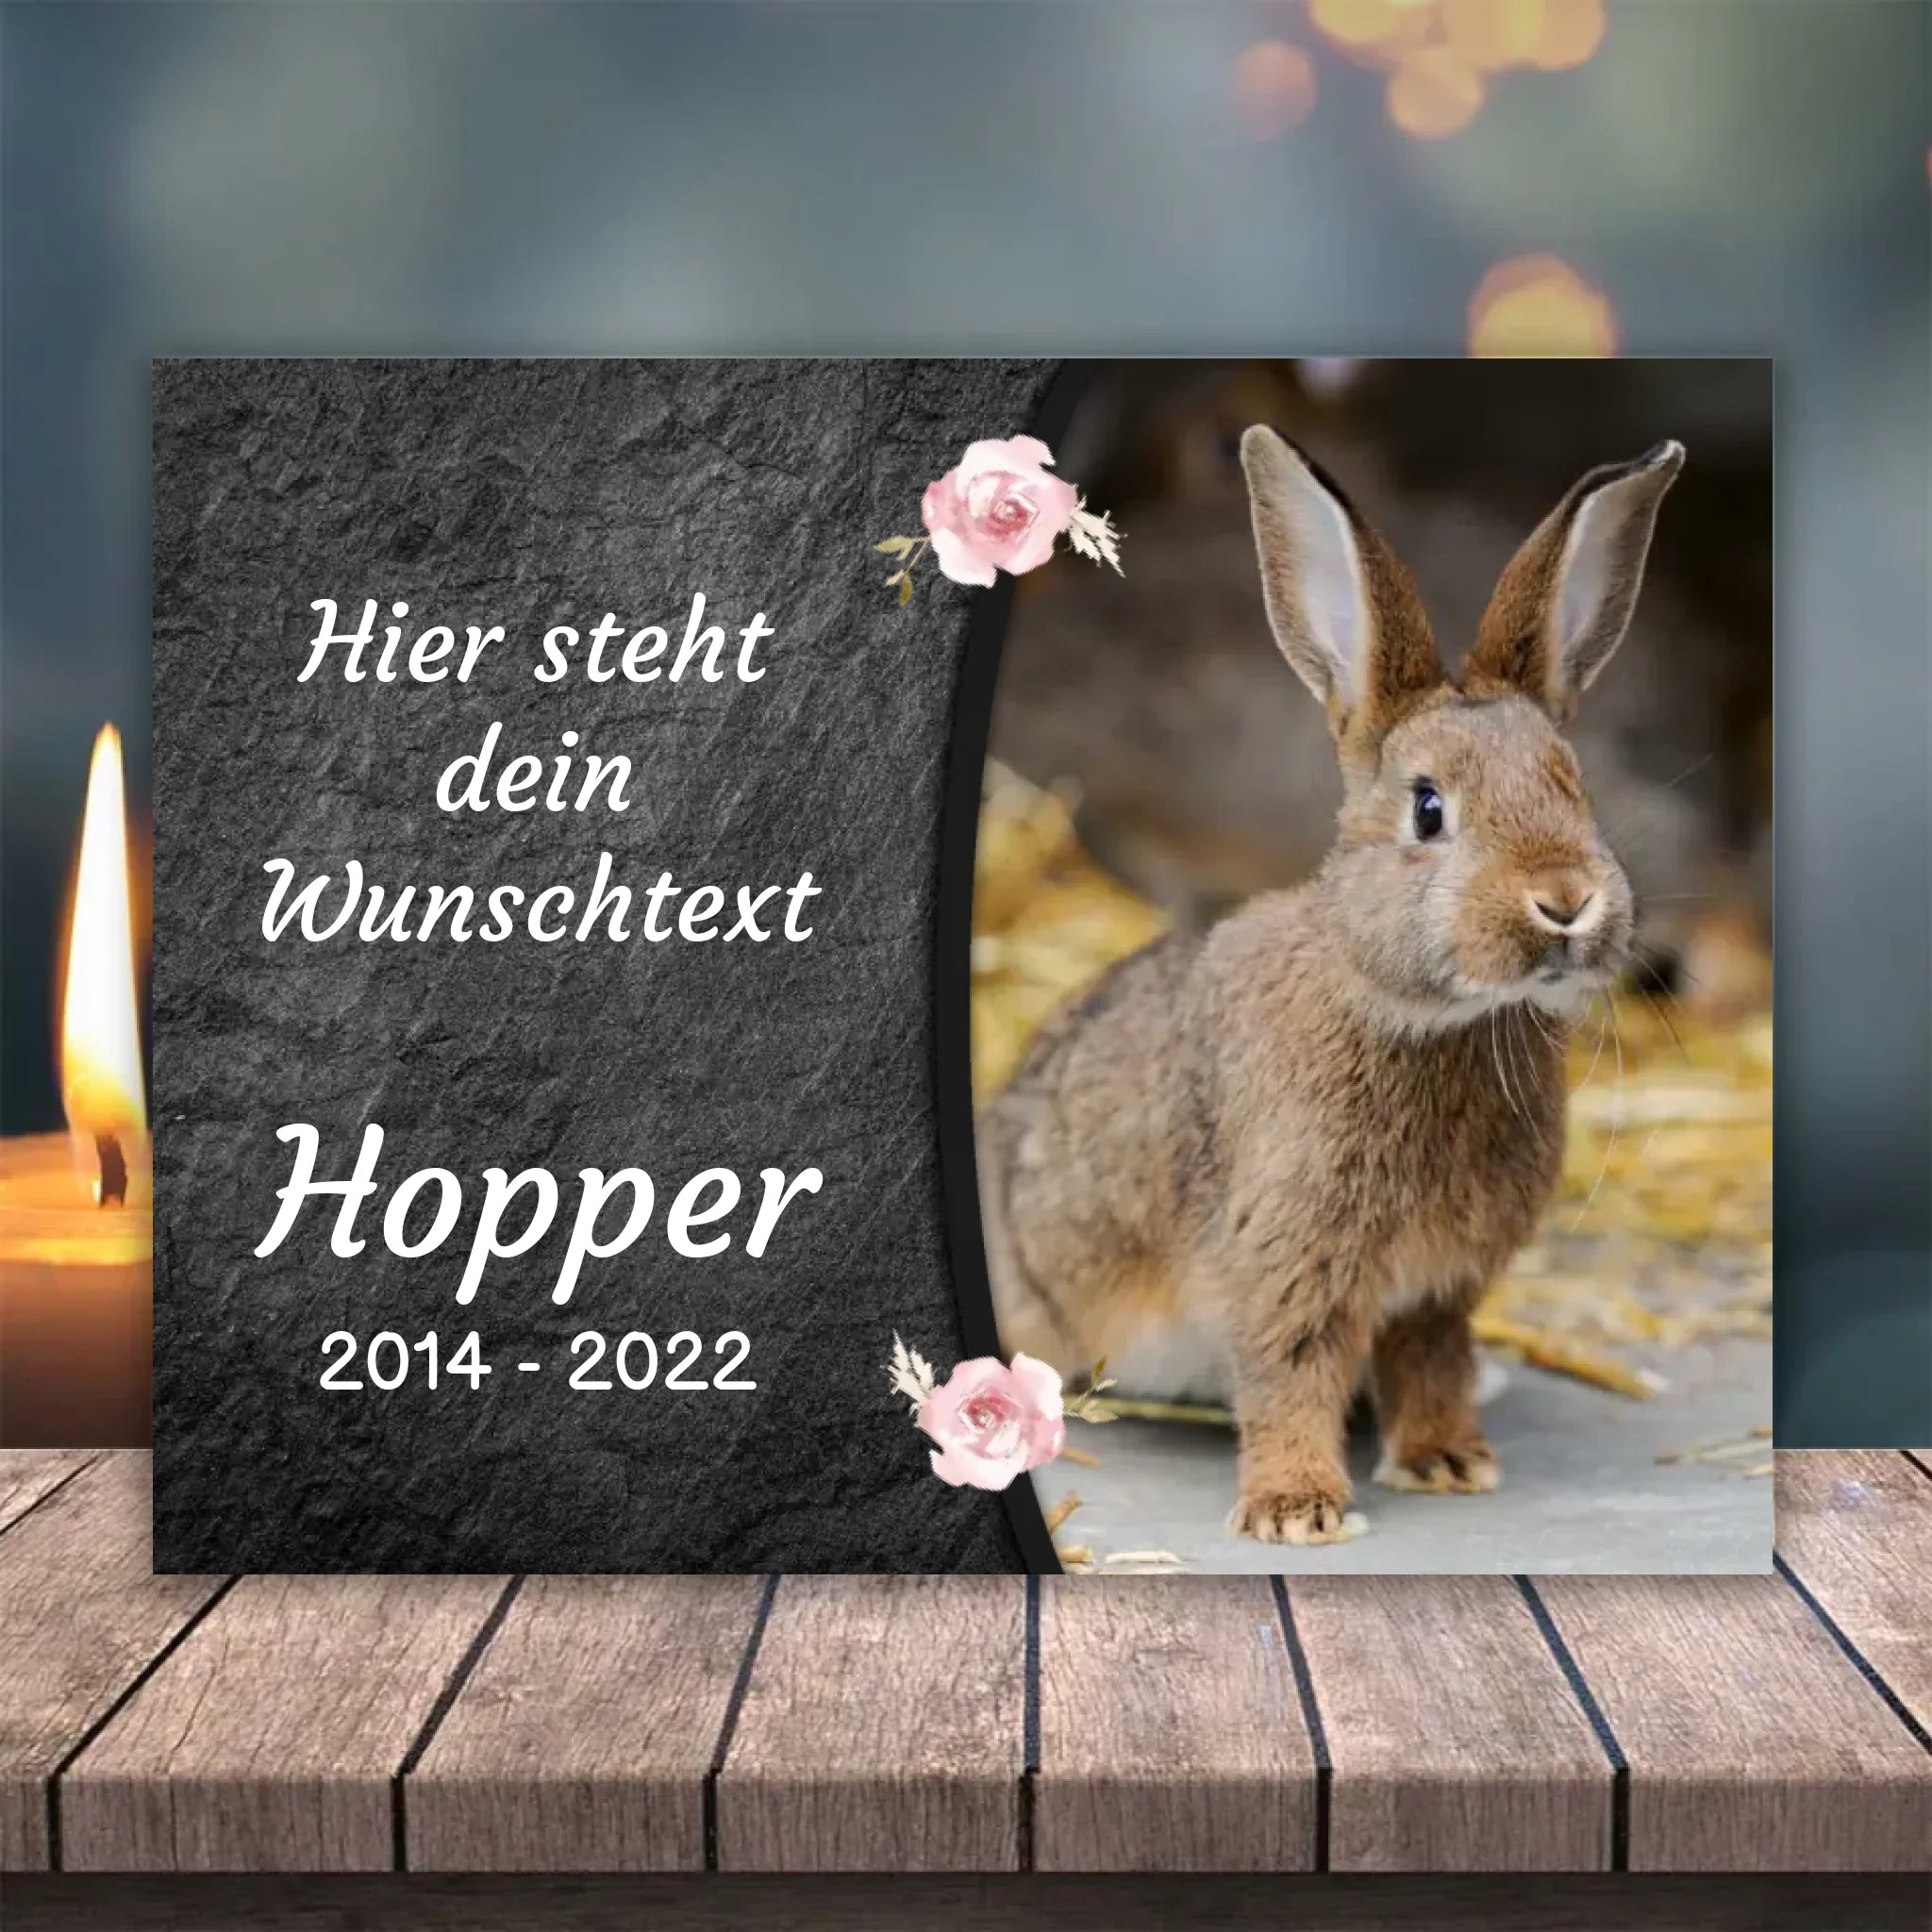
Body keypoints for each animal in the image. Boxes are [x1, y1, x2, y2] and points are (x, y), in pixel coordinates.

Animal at [979, 428, 1683, 1542]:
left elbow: (1429, 1361)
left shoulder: (1439, 1287)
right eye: (1428, 809)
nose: (1566, 902)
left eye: (1573, 787)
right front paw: (1296, 1509)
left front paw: (1447, 1462)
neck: (1427, 1017)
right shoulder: (1288, 1260)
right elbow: (1290, 1375)